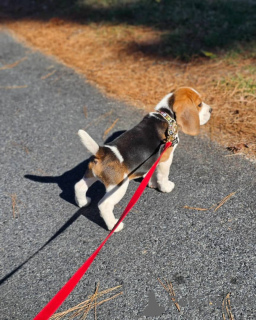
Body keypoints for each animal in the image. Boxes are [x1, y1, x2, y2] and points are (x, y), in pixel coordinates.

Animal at [75, 87, 212, 232]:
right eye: (199, 104)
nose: (211, 110)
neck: (166, 115)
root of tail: (102, 152)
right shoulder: (166, 158)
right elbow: (163, 175)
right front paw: (165, 187)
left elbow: (151, 172)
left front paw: (151, 183)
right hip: (118, 187)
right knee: (104, 205)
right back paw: (114, 225)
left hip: (91, 175)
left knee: (79, 186)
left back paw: (83, 202)